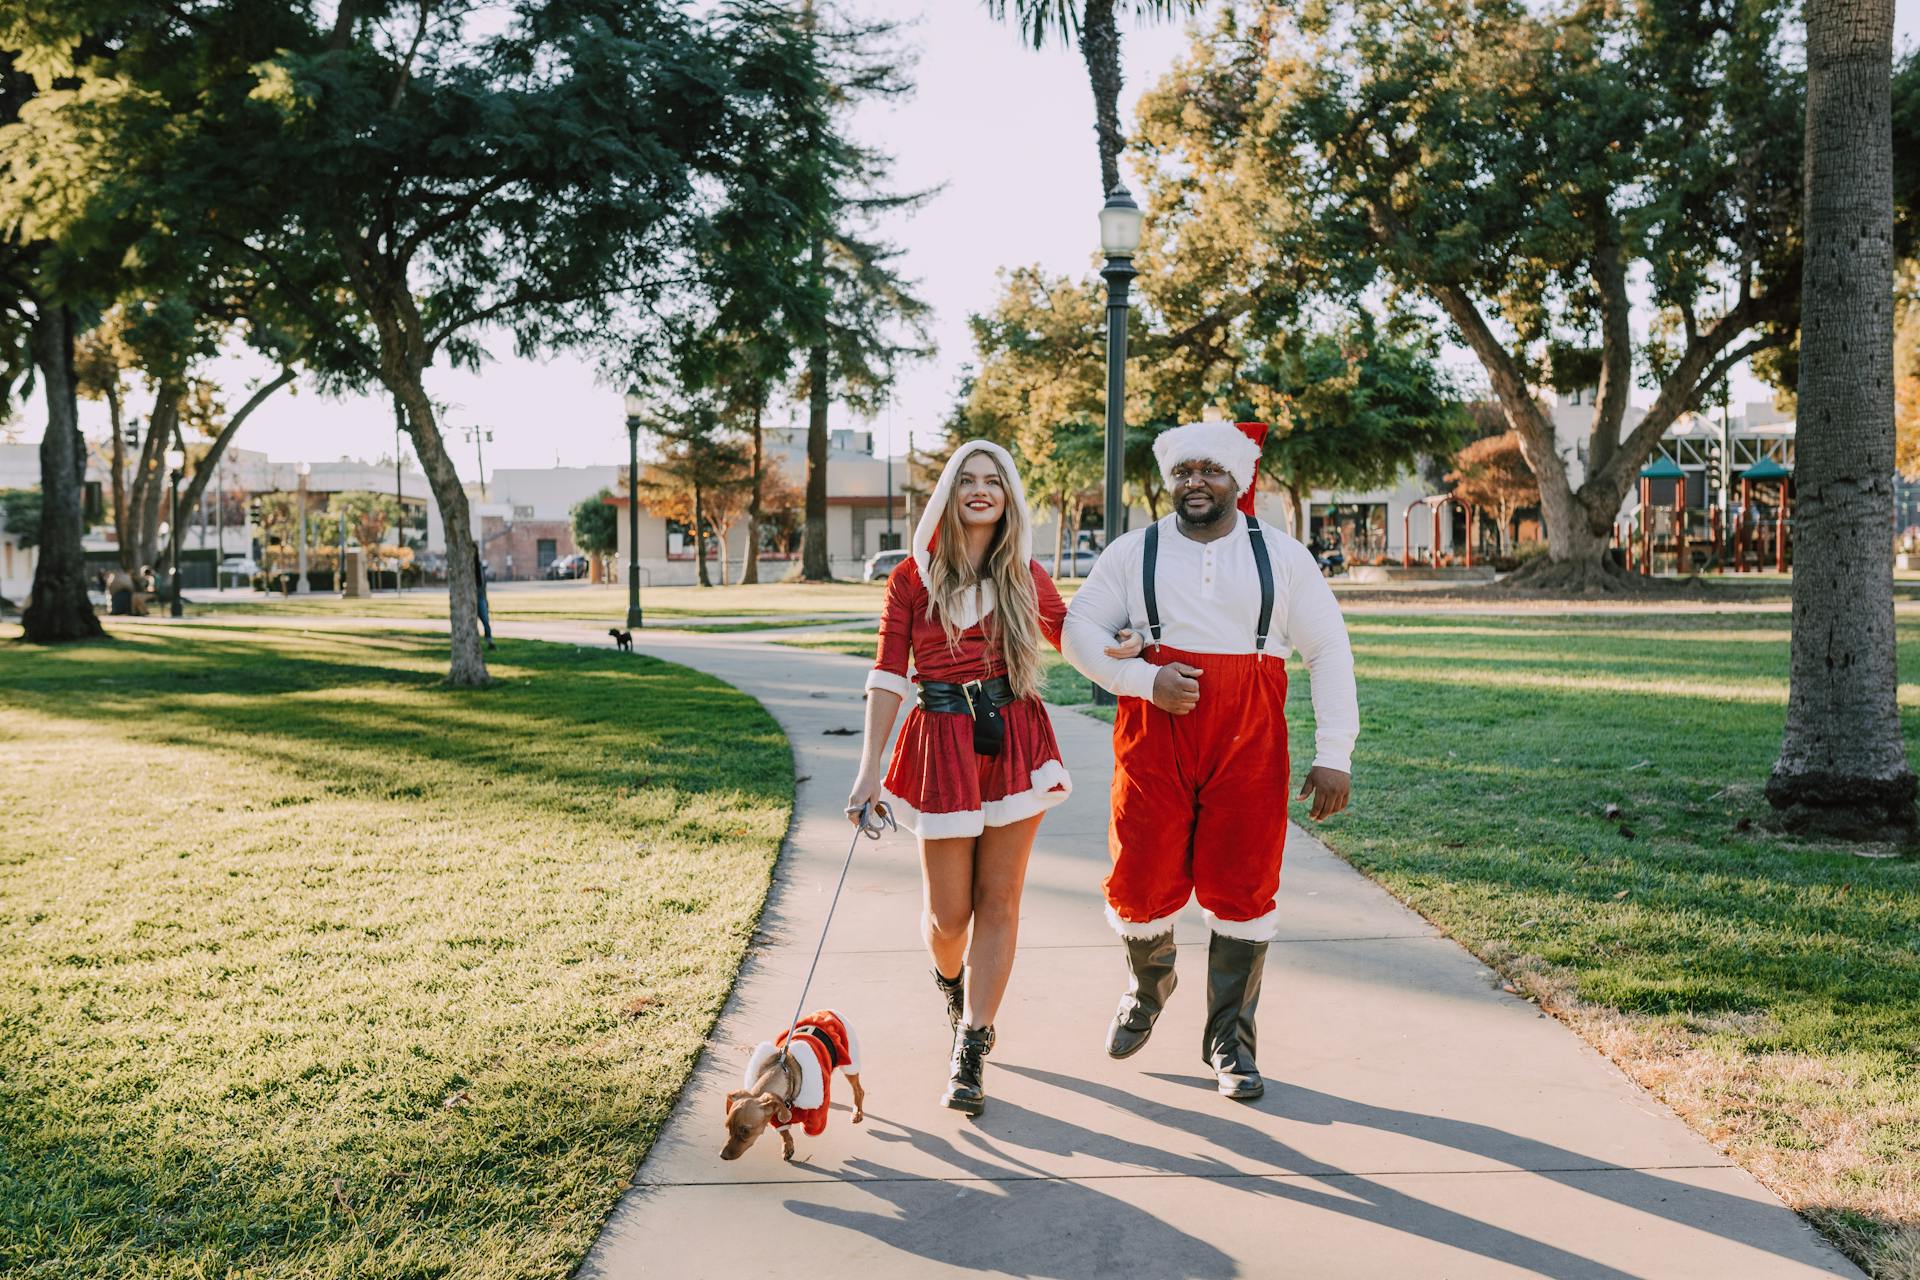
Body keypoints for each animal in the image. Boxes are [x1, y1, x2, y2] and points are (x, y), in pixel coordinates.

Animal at [721, 1013, 867, 1159]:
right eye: (727, 1126)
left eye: (746, 1130)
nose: (722, 1155)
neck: (782, 1070)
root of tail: (828, 1011)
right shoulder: (776, 1113)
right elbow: (783, 1131)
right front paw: (788, 1147)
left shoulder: (817, 1112)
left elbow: (813, 1125)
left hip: (850, 1062)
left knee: (859, 1090)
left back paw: (857, 1113)